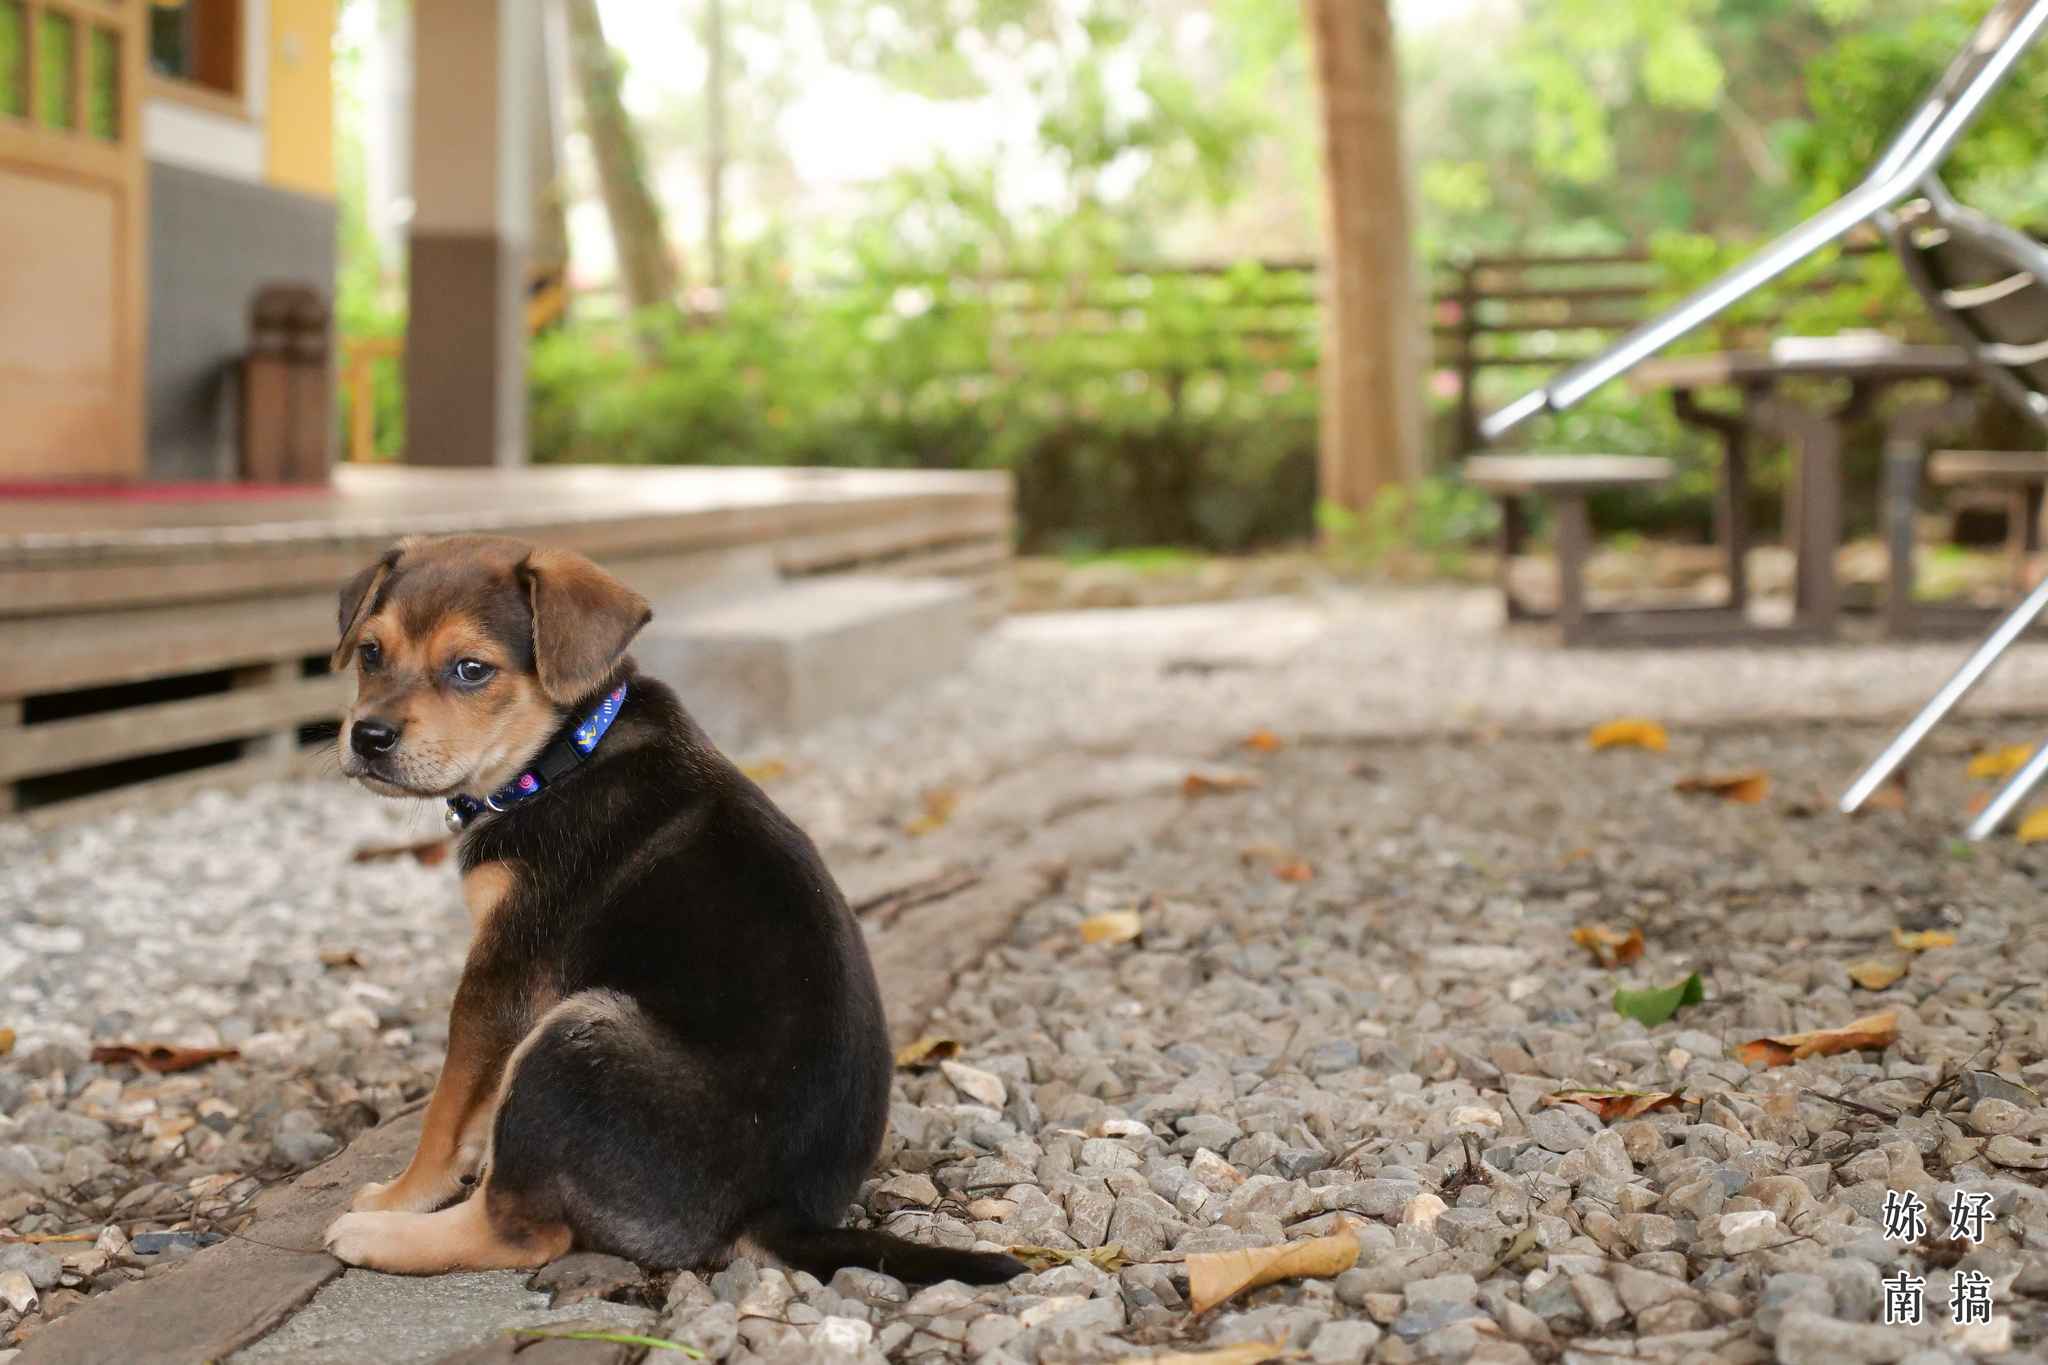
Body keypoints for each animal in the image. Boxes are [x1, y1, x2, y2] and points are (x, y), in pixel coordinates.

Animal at [319, 536, 1024, 1293]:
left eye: (471, 669)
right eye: (369, 652)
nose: (367, 737)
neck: (566, 753)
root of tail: (779, 1214)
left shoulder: (501, 979)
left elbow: (445, 1113)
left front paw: (400, 1194)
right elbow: (469, 1111)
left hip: (575, 1036)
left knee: (521, 1232)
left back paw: (381, 1236)